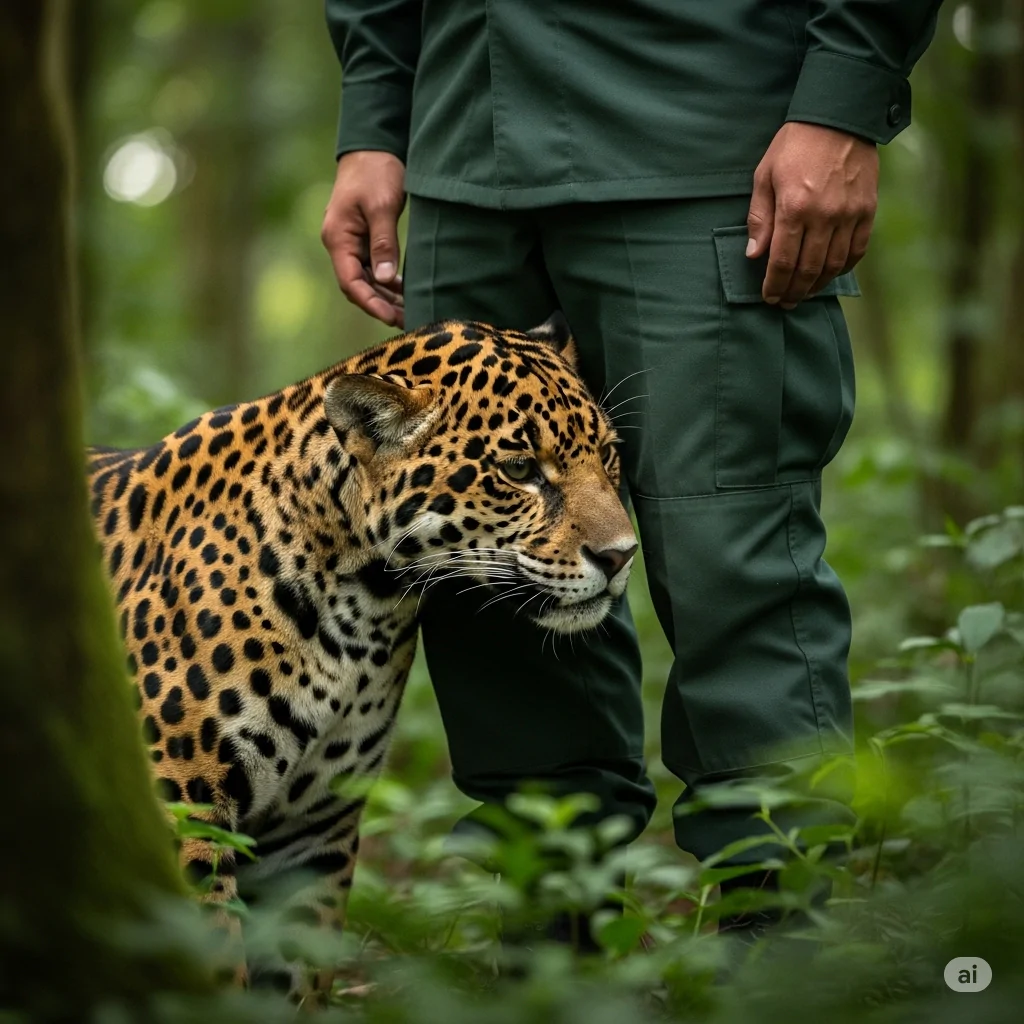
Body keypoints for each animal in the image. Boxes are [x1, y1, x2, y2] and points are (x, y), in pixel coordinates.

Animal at [86, 312, 638, 1001]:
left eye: (610, 455)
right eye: (519, 468)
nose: (622, 555)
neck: (359, 606)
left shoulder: (315, 830)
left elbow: (296, 974)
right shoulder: (186, 811)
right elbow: (213, 967)